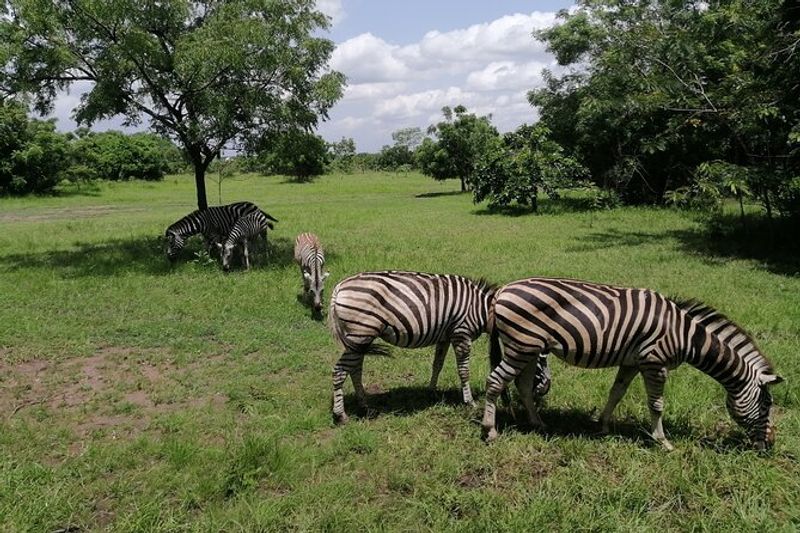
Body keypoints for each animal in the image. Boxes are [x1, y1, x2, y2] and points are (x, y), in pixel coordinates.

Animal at [328, 270, 496, 424]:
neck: (480, 309)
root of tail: (339, 287)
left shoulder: (445, 337)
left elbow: (437, 365)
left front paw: (432, 393)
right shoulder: (461, 334)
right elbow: (464, 371)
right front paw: (469, 402)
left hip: (361, 339)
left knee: (355, 369)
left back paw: (364, 406)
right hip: (360, 334)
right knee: (340, 371)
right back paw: (341, 415)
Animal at [482, 278, 780, 448]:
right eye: (767, 404)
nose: (770, 444)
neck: (686, 336)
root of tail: (504, 290)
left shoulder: (632, 362)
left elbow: (616, 393)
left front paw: (602, 426)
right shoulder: (654, 363)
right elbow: (657, 404)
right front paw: (662, 441)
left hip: (530, 347)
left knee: (521, 384)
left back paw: (537, 423)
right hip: (521, 345)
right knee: (495, 381)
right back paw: (490, 430)